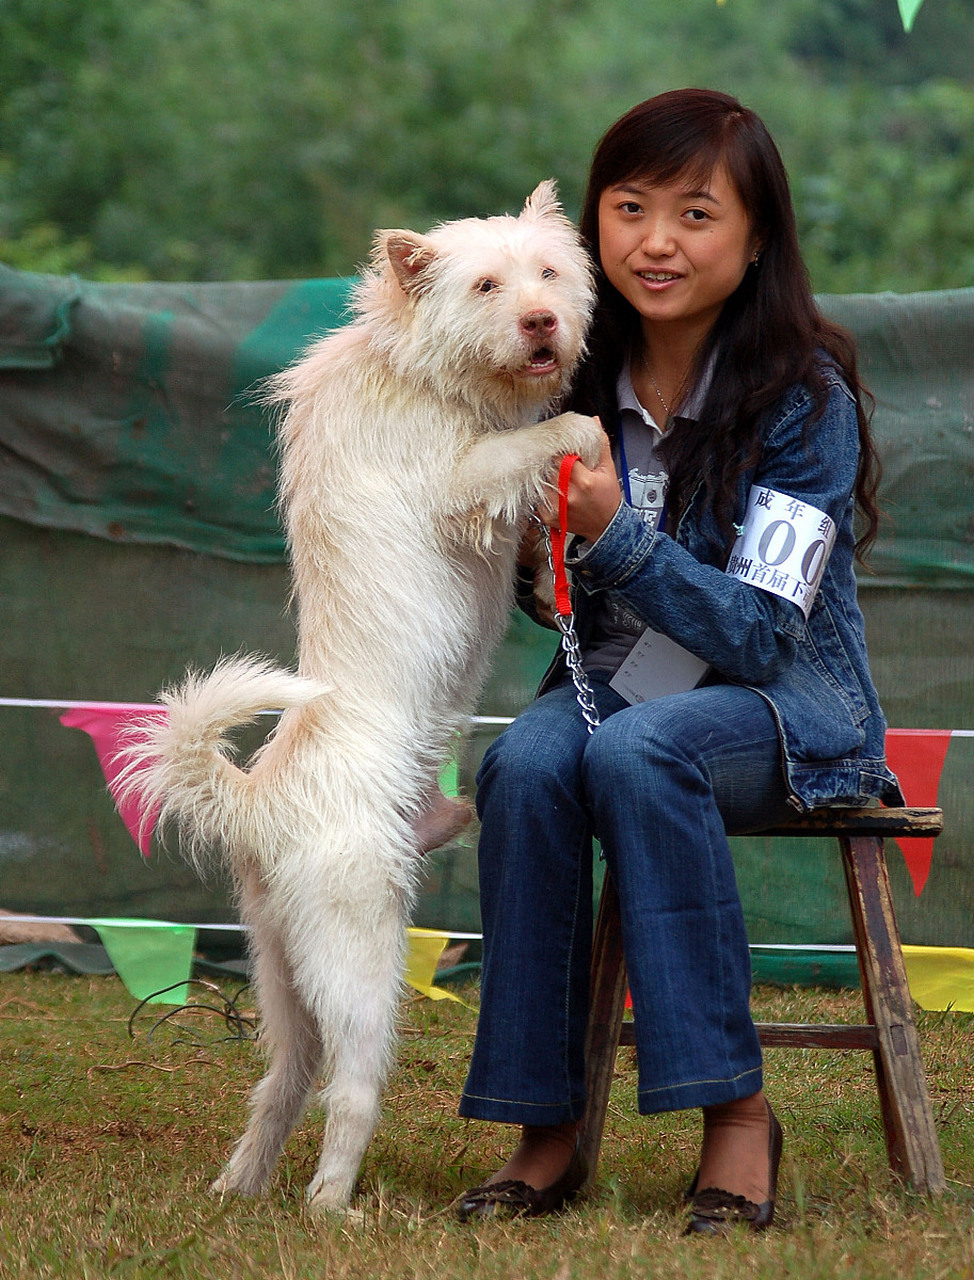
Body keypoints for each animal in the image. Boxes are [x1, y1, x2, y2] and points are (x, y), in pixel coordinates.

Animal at [117, 180, 604, 1208]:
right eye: (487, 284)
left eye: (548, 272)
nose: (542, 322)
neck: (418, 364)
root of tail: (253, 801)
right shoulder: (462, 477)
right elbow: (554, 435)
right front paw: (584, 435)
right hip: (360, 960)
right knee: (349, 1091)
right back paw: (332, 1206)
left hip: (282, 970)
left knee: (279, 1083)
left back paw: (237, 1192)